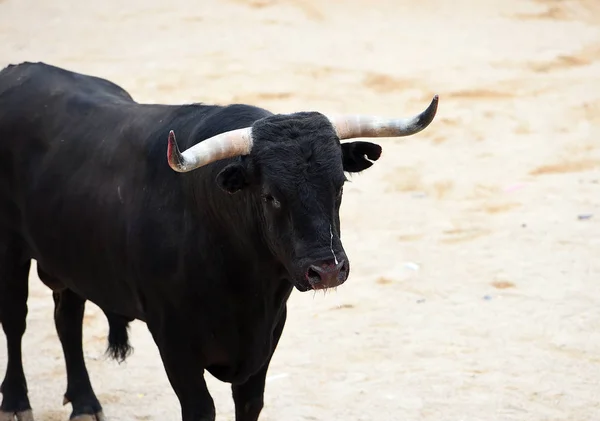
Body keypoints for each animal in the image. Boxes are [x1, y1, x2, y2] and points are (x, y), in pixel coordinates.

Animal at [0, 62, 436, 420]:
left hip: (69, 257)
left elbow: (250, 403)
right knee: (16, 320)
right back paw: (16, 402)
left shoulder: (267, 335)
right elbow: (200, 409)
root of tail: (18, 72)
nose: (327, 270)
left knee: (67, 319)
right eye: (271, 196)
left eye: (339, 186)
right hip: (11, 251)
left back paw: (85, 404)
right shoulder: (173, 338)